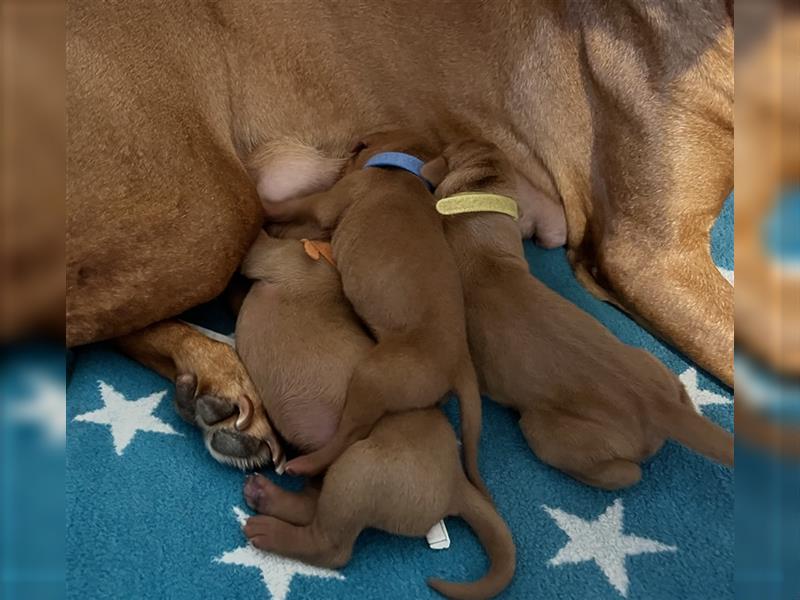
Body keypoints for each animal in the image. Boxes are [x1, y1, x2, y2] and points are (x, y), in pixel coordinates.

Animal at [236, 231, 520, 600]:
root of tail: (457, 483)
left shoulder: (269, 257)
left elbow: (254, 250)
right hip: (339, 475)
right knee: (312, 506)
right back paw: (266, 496)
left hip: (359, 472)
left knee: (330, 547)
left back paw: (270, 531)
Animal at [262, 130, 484, 492]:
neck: (403, 168)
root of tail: (460, 363)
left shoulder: (332, 199)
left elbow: (296, 205)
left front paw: (264, 206)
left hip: (374, 376)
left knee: (351, 433)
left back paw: (306, 464)